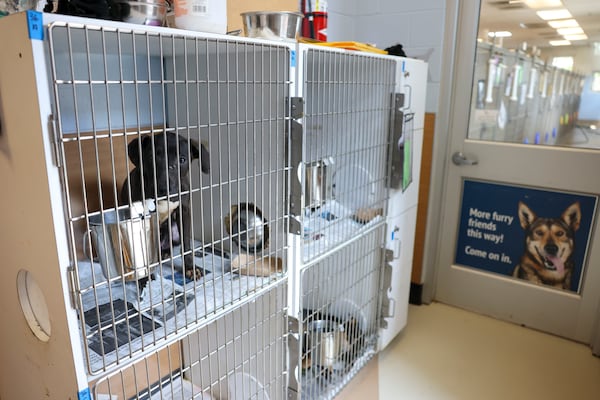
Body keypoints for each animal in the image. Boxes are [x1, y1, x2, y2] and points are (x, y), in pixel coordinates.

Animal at [119, 133, 211, 282]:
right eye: (151, 157)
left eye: (182, 159)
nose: (163, 188)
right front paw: (143, 278)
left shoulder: (184, 211)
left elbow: (186, 245)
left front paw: (190, 268)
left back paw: (165, 253)